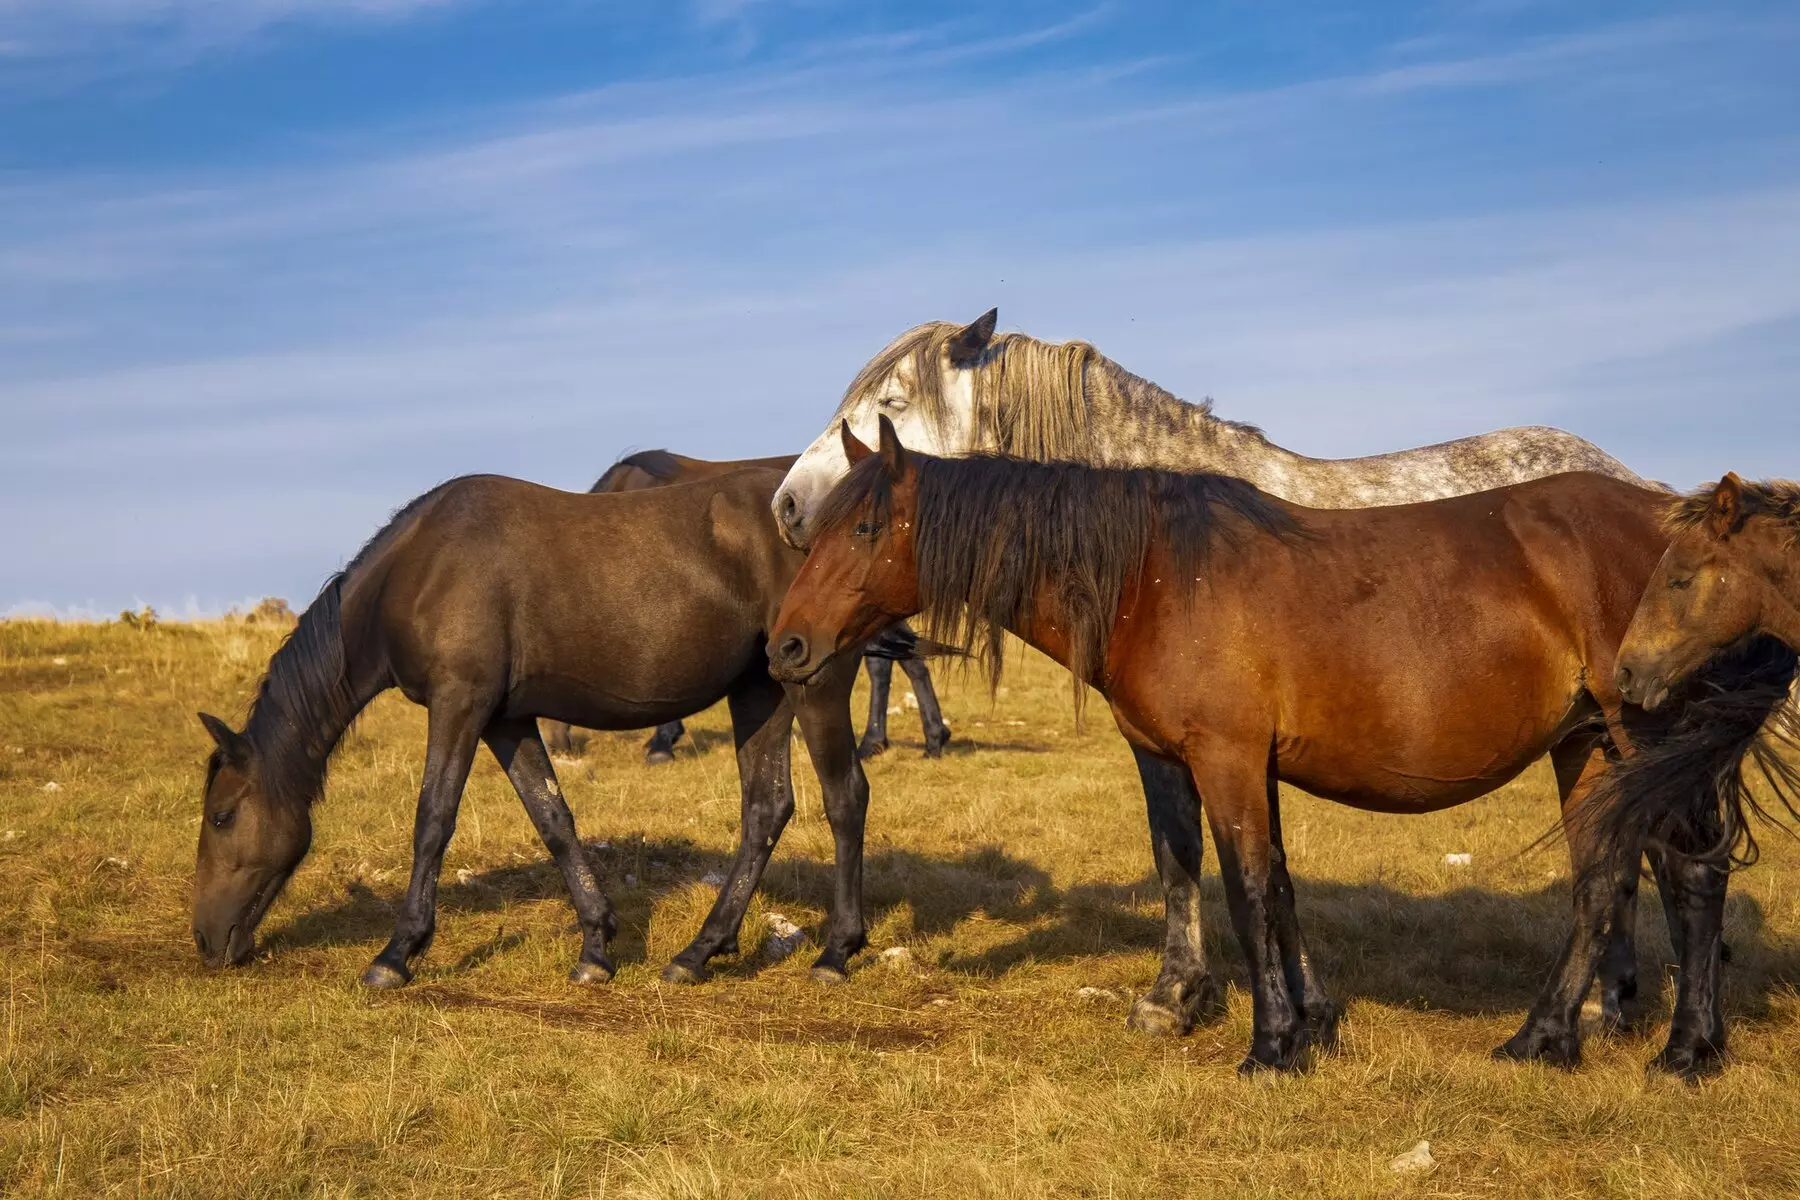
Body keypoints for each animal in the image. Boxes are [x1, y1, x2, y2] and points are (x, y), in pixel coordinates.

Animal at [195, 467, 885, 993]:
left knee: (844, 796)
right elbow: (553, 819)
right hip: (760, 692)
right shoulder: (506, 720)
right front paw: (597, 946)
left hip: (815, 685)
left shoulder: (459, 704)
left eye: (222, 816)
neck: (420, 569)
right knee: (766, 807)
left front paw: (397, 953)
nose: (204, 940)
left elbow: (433, 819)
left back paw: (835, 952)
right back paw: (698, 952)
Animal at [766, 420, 1792, 1079]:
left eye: (867, 527)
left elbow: (1247, 887)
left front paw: (1267, 1047)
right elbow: (1268, 885)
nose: (786, 646)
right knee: (1602, 879)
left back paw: (1687, 1052)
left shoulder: (1225, 758)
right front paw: (1308, 1027)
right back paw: (1544, 1039)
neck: (1155, 573)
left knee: (1691, 874)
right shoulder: (1220, 763)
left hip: (1646, 737)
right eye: (819, 529)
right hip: (1586, 748)